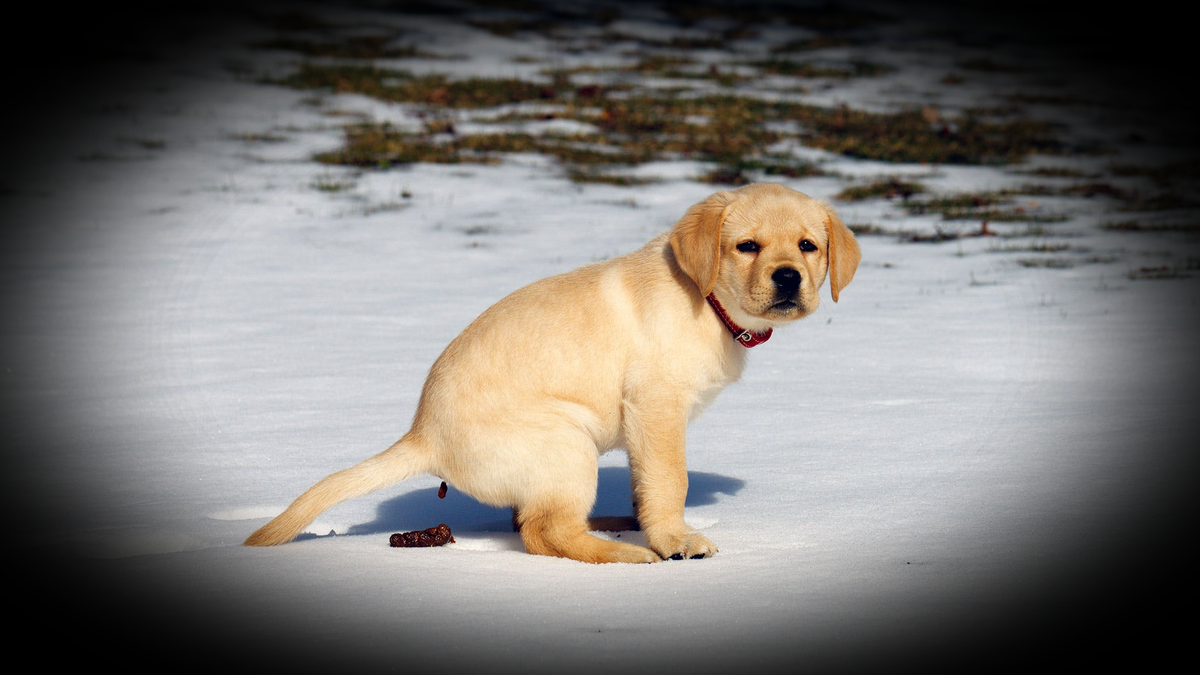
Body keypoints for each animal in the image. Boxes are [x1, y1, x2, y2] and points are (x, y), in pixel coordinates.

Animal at [246, 181, 864, 559]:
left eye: (808, 246)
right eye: (747, 247)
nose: (788, 277)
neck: (707, 301)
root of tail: (422, 435)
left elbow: (649, 483)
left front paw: (654, 524)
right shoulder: (656, 407)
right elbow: (671, 480)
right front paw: (674, 540)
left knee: (536, 521)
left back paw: (612, 525)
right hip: (566, 443)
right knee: (543, 533)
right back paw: (624, 554)